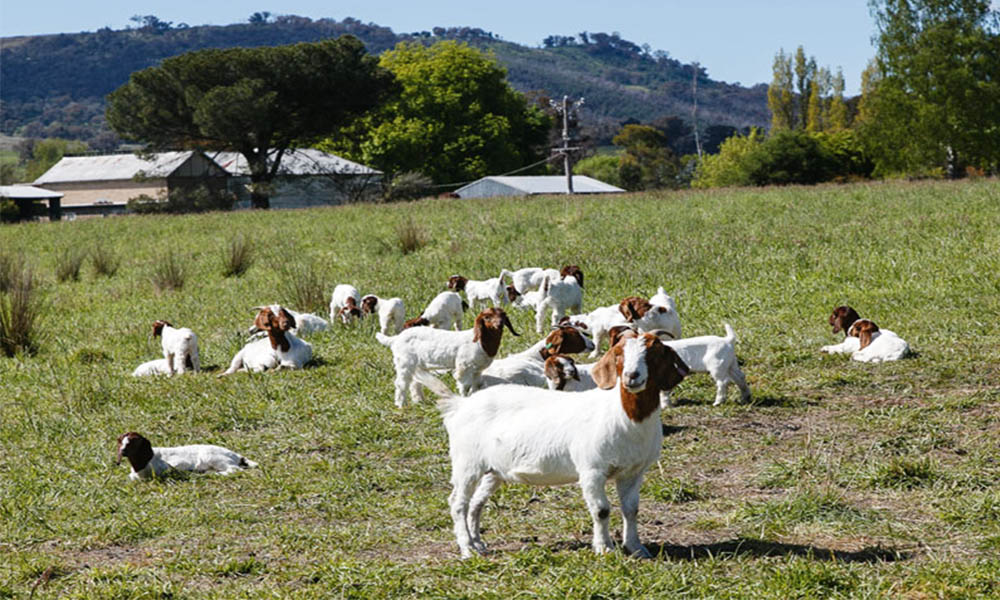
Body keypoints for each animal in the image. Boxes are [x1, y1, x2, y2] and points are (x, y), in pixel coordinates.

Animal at [116, 431, 257, 481]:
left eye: (133, 442)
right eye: (121, 442)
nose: (123, 451)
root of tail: (236, 455)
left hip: (213, 458)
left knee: (234, 470)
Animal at [376, 307, 519, 407]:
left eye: (503, 316)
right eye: (487, 317)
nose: (499, 324)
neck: (480, 342)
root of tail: (395, 339)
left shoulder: (477, 370)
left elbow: (477, 385)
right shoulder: (464, 366)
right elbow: (465, 385)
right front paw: (464, 400)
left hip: (418, 364)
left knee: (415, 382)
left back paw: (420, 401)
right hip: (404, 361)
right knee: (401, 383)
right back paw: (401, 405)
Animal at [421, 330, 689, 558]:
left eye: (654, 354)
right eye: (620, 354)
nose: (631, 377)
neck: (626, 416)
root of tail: (459, 406)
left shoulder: (634, 472)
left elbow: (631, 509)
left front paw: (636, 548)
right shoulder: (592, 470)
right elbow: (601, 510)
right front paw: (604, 549)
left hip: (492, 470)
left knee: (476, 503)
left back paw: (479, 543)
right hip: (466, 463)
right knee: (458, 503)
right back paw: (467, 549)